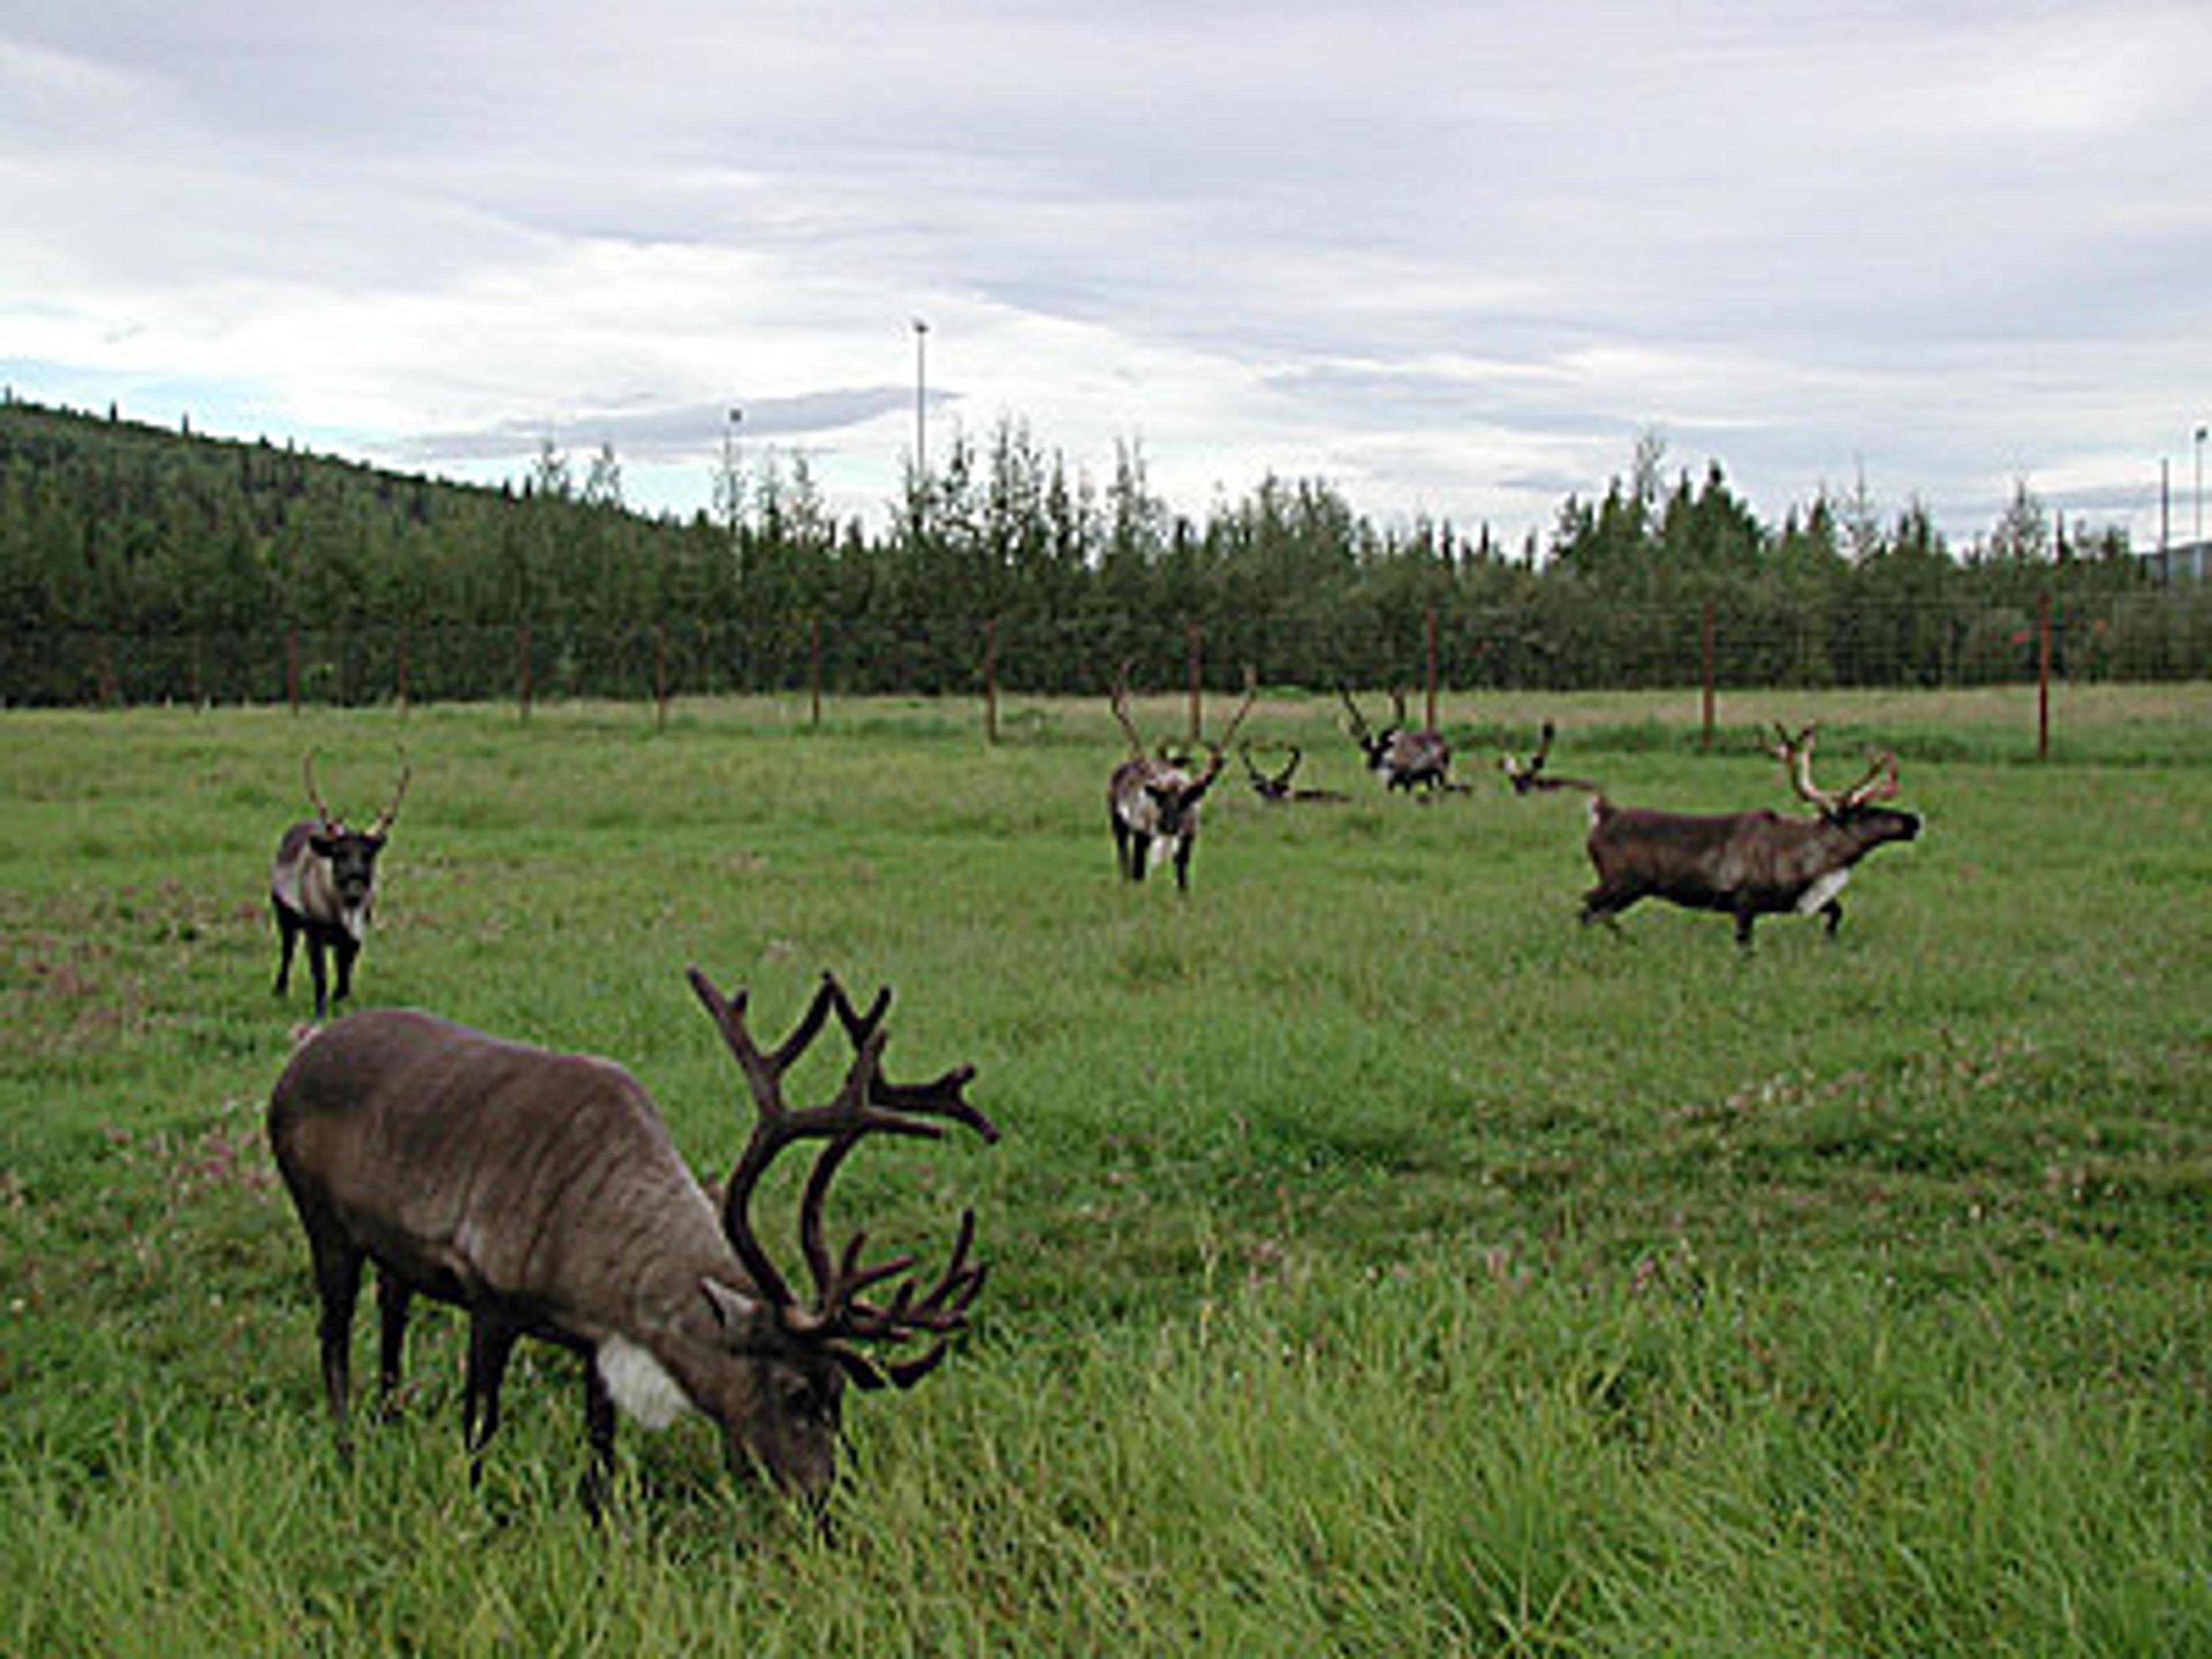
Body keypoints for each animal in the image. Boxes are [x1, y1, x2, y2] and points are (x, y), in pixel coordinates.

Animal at [265, 968, 997, 1510]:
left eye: (840, 1393)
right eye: (796, 1393)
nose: (826, 1500)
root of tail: (300, 1058)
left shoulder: (595, 1341)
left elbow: (601, 1445)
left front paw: (602, 1521)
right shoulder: (491, 1303)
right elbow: (481, 1424)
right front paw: (472, 1507)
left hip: (392, 1247)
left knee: (392, 1308)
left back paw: (389, 1414)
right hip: (323, 1221)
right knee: (334, 1333)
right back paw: (346, 1446)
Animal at [271, 752, 410, 1019]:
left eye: (368, 855)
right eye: (338, 854)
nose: (355, 889)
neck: (341, 913)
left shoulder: (355, 935)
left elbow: (345, 974)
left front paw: (341, 1002)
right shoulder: (314, 933)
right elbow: (321, 977)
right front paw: (320, 1013)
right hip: (284, 915)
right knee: (287, 952)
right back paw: (280, 991)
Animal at [1107, 666, 1257, 892]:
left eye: (1186, 801)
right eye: (1160, 799)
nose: (1169, 827)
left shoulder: (1188, 839)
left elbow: (1182, 880)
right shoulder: (1142, 834)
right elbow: (1138, 874)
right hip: (1119, 823)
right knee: (1124, 858)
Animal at [1337, 685, 1460, 795]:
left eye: (1382, 749)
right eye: (1370, 750)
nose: (1369, 765)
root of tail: (1442, 740)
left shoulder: (1408, 780)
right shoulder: (1390, 784)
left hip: (1440, 772)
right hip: (1429, 777)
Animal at [1578, 724, 1921, 947]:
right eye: (1866, 813)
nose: (1914, 820)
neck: (1804, 862)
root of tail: (1602, 813)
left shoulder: (1795, 901)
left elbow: (1837, 912)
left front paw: (1830, 941)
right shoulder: (1744, 900)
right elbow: (1745, 946)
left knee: (1592, 910)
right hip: (1625, 881)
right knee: (1588, 906)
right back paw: (1622, 941)